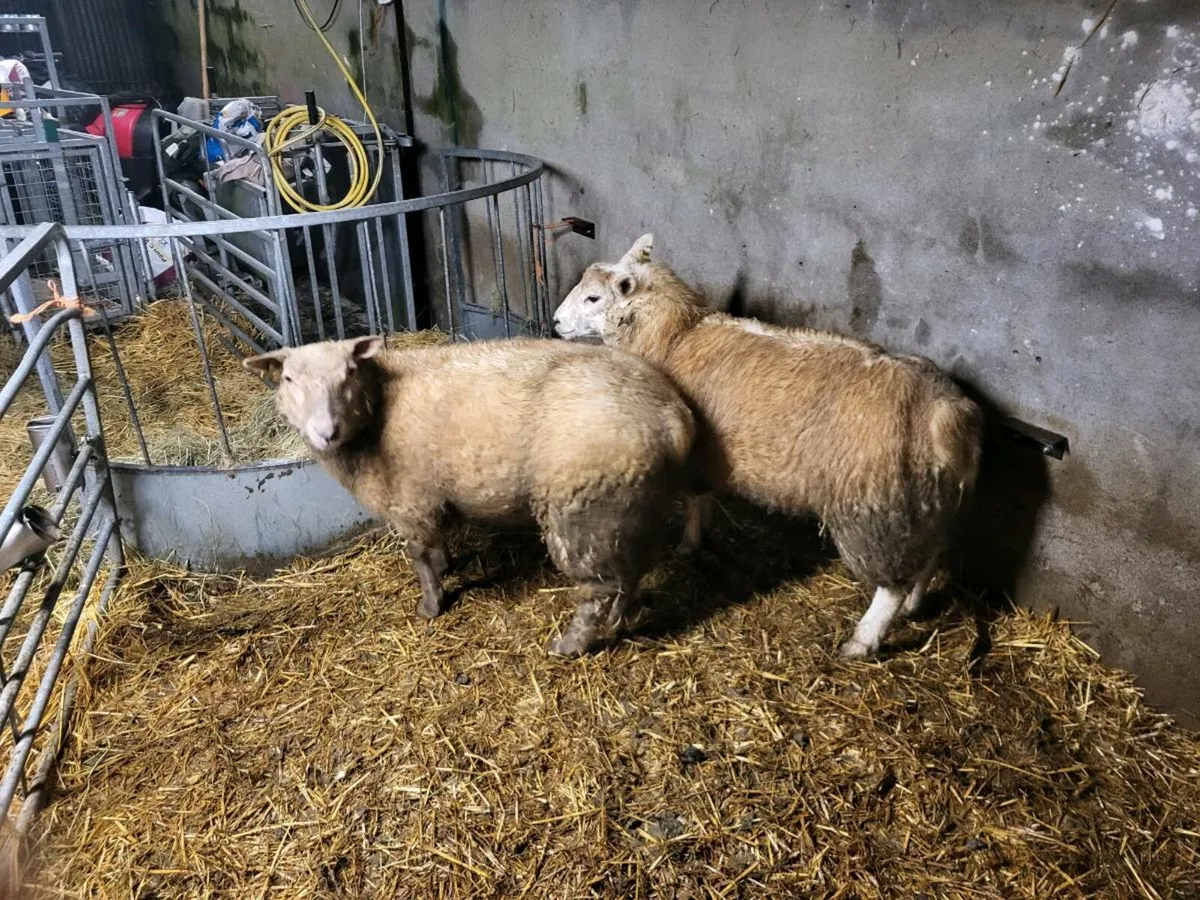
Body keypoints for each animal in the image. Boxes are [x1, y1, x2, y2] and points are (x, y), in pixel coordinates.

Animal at [244, 335, 695, 656]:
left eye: (349, 372)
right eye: (288, 379)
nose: (326, 431)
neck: (378, 408)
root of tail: (672, 415)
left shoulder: (408, 497)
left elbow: (419, 556)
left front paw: (431, 605)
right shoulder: (428, 495)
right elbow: (437, 543)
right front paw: (448, 565)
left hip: (585, 505)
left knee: (598, 588)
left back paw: (569, 645)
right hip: (632, 505)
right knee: (628, 575)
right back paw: (620, 620)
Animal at [553, 234, 983, 660]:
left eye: (593, 298)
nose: (556, 322)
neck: (676, 336)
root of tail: (946, 412)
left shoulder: (694, 454)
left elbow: (692, 500)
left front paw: (688, 544)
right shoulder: (709, 455)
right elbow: (703, 496)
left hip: (874, 507)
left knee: (891, 583)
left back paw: (862, 640)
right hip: (930, 502)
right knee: (932, 555)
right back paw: (914, 605)